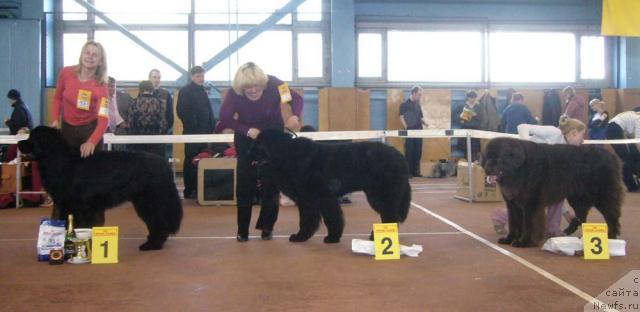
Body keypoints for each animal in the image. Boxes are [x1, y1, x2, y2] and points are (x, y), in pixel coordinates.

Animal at [18, 125, 184, 250]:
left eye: (31, 138)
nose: (19, 142)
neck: (59, 160)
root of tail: (164, 164)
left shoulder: (74, 204)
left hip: (149, 201)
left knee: (159, 222)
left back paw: (152, 245)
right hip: (143, 202)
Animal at [254, 129, 410, 244]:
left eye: (258, 144)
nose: (250, 153)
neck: (287, 155)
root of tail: (400, 157)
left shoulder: (309, 198)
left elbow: (307, 219)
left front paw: (300, 236)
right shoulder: (326, 198)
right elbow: (333, 217)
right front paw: (333, 237)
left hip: (381, 195)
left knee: (390, 215)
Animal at [482, 138, 624, 247]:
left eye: (499, 158)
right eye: (487, 157)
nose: (487, 168)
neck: (519, 170)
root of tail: (611, 157)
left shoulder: (531, 204)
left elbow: (529, 224)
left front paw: (525, 242)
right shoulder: (513, 204)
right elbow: (514, 223)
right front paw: (509, 239)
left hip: (601, 196)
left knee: (611, 216)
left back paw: (611, 236)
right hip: (577, 197)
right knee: (581, 216)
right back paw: (570, 232)